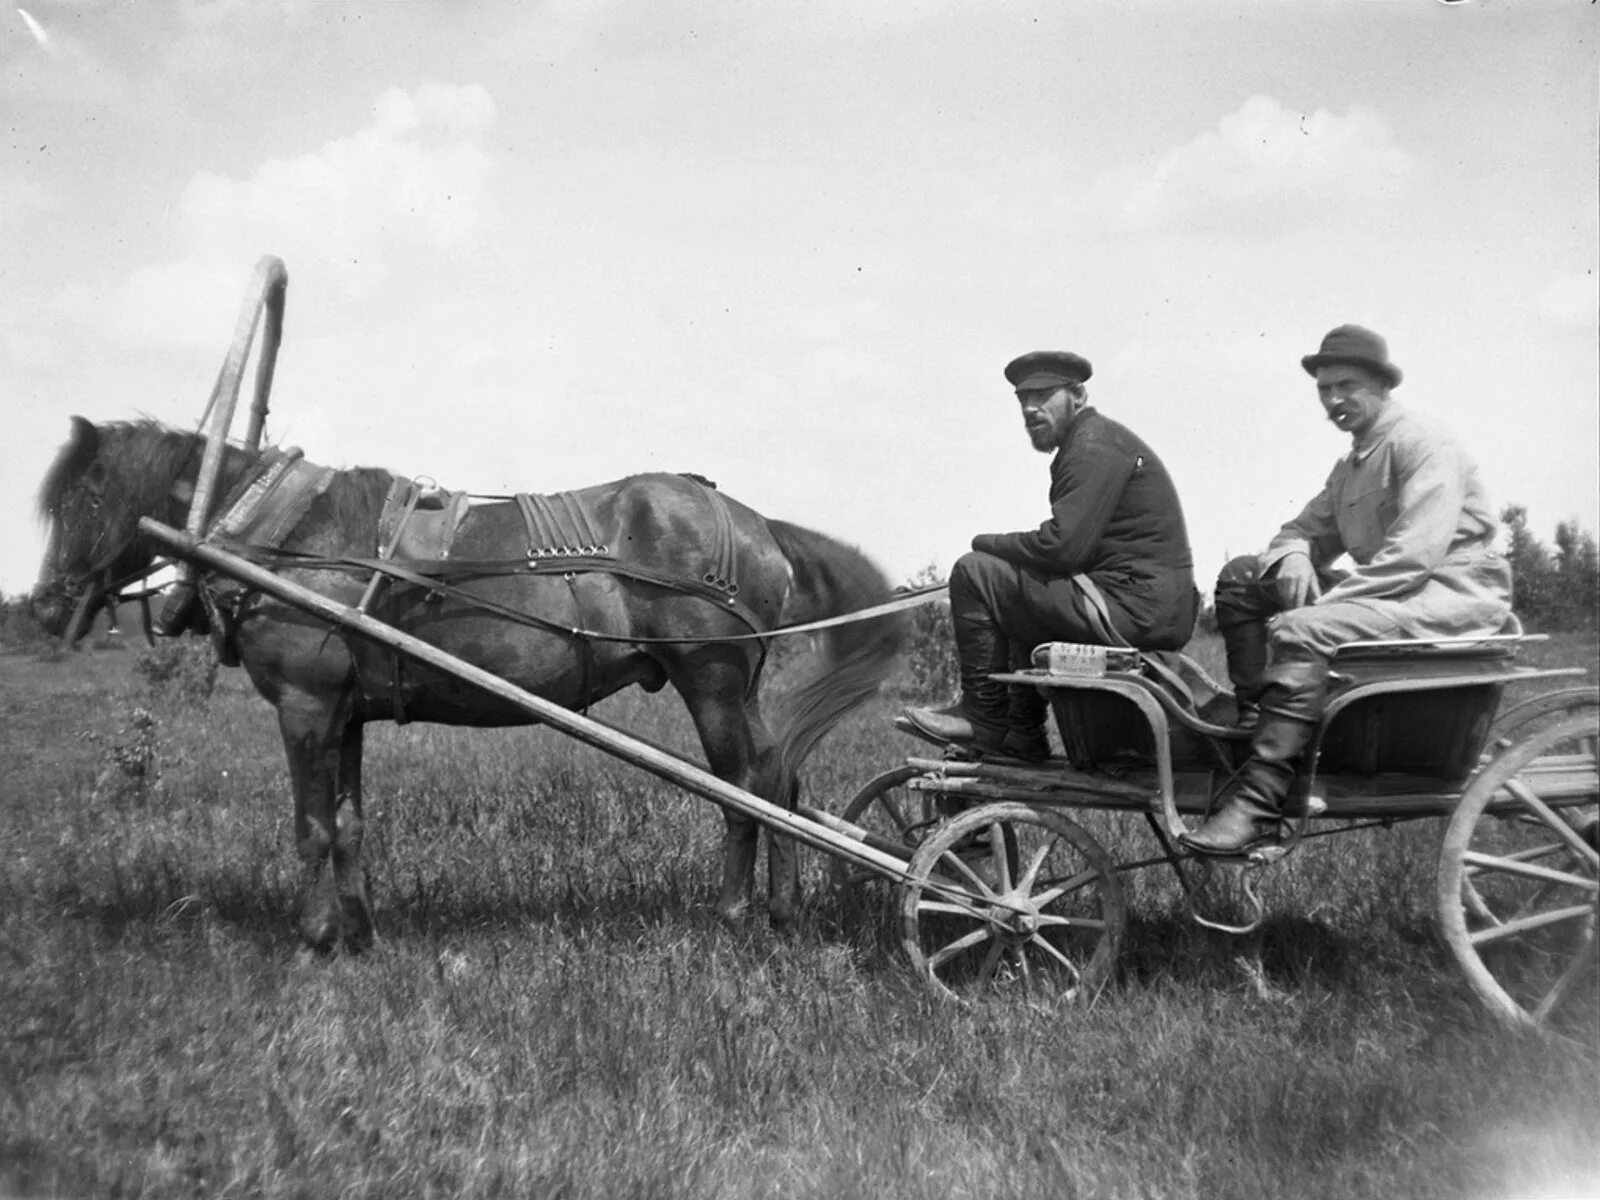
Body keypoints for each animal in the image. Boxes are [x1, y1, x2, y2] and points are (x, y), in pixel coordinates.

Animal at [31, 419, 902, 953]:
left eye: (88, 496)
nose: (43, 605)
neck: (287, 539)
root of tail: (753, 521)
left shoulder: (306, 706)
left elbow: (310, 825)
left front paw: (313, 938)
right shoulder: (345, 712)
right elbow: (348, 822)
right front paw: (358, 932)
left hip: (711, 677)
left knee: (743, 787)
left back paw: (733, 915)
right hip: (739, 684)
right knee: (780, 776)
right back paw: (783, 911)